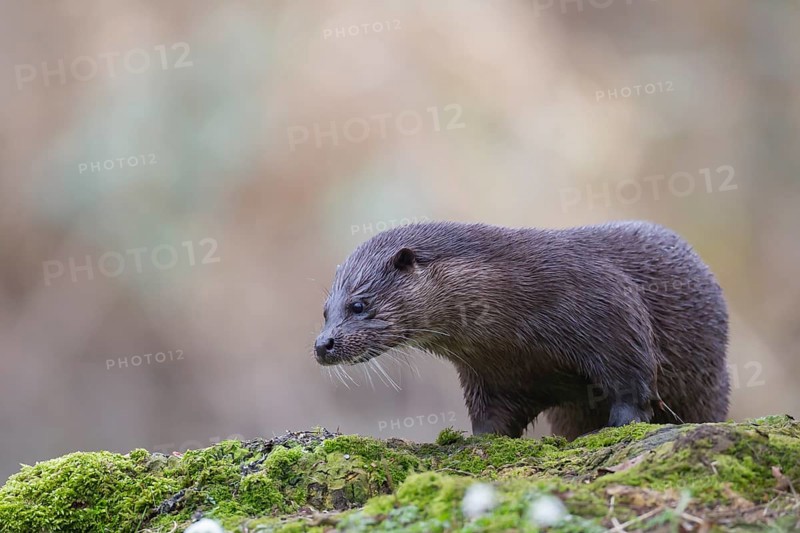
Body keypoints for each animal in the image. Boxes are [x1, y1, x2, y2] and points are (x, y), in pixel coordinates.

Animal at [314, 221, 729, 439]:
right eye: (324, 311)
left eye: (358, 305)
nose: (323, 344)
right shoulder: (493, 373)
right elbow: (494, 416)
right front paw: (477, 440)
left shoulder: (612, 310)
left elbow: (633, 380)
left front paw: (621, 425)